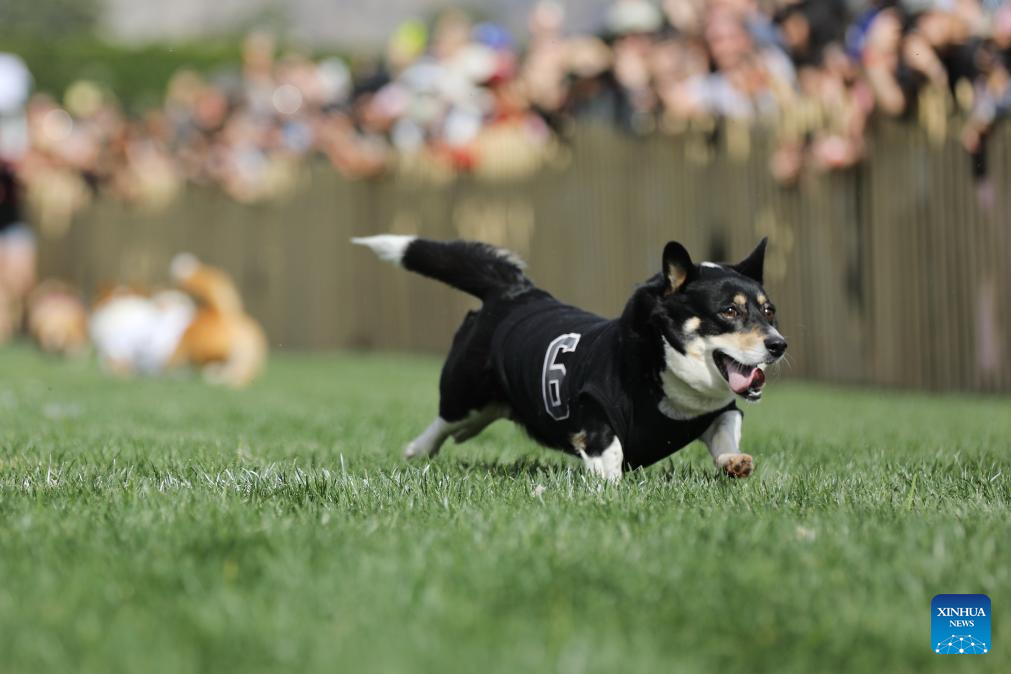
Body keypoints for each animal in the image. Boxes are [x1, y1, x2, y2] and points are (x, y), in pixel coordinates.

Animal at [355, 234, 788, 483]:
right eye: (729, 311)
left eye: (769, 311)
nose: (779, 346)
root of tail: (518, 291)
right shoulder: (594, 411)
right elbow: (610, 451)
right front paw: (609, 488)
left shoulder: (720, 412)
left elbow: (727, 432)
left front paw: (735, 463)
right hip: (466, 393)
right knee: (444, 421)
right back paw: (416, 450)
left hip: (486, 410)